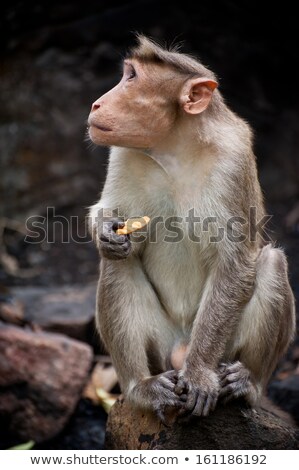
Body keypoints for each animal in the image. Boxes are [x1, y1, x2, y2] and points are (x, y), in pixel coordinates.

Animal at [88, 35, 296, 422]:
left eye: (132, 77)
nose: (96, 102)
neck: (174, 149)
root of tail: (180, 348)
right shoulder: (122, 153)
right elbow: (109, 213)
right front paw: (107, 231)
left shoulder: (233, 161)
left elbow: (235, 264)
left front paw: (199, 375)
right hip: (160, 346)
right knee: (117, 264)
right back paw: (140, 388)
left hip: (224, 350)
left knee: (272, 263)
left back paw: (248, 384)